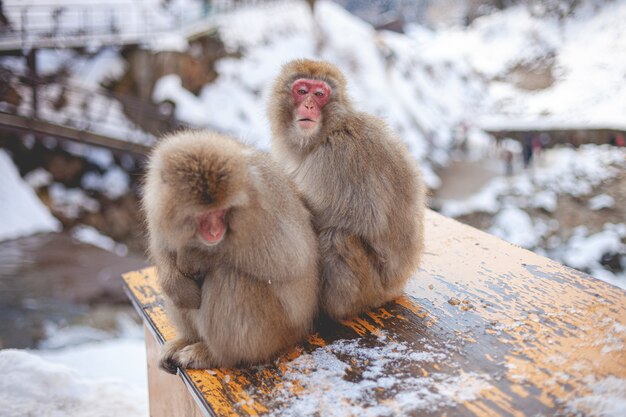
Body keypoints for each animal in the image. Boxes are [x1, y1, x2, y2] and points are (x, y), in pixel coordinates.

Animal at [141, 131, 316, 370]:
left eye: (222, 212)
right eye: (203, 216)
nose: (215, 232)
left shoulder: (262, 204)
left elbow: (289, 258)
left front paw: (195, 256)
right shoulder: (157, 204)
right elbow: (163, 249)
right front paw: (176, 281)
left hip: (274, 332)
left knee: (228, 276)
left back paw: (216, 355)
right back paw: (187, 338)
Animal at [268, 57, 424, 318]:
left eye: (319, 94)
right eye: (302, 91)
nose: (309, 105)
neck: (327, 132)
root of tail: (394, 288)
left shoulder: (341, 154)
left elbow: (362, 217)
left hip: (369, 289)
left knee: (337, 237)